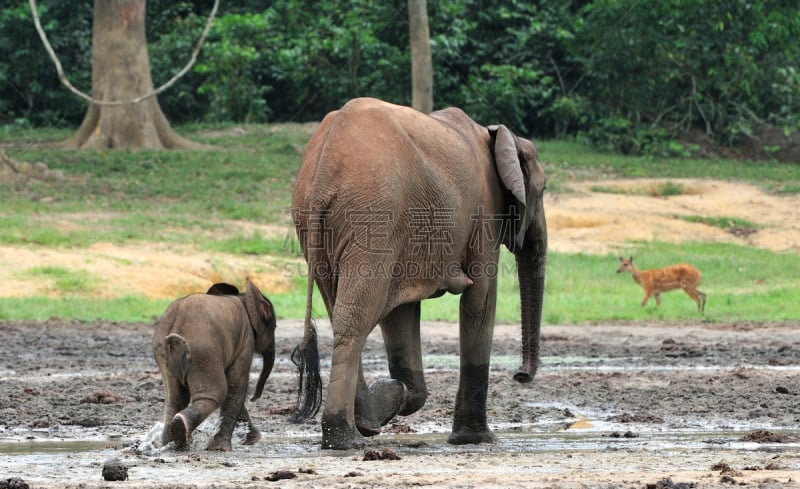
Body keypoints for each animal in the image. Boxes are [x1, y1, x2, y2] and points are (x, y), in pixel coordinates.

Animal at [154, 278, 278, 450]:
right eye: (274, 326)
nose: (254, 399)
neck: (243, 297)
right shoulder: (245, 340)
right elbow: (235, 385)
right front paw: (223, 448)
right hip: (203, 352)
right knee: (216, 392)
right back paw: (180, 432)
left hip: (164, 354)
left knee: (175, 399)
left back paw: (172, 443)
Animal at [290, 97, 548, 448]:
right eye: (543, 190)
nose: (520, 375)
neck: (494, 134)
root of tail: (324, 170)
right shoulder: (485, 212)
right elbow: (480, 300)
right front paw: (475, 439)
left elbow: (400, 313)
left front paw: (392, 396)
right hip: (374, 217)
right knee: (357, 317)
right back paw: (347, 439)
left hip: (325, 225)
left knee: (343, 312)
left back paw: (362, 426)